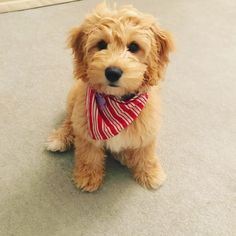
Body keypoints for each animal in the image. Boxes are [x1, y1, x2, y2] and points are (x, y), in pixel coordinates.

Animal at [47, 3, 174, 192]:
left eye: (134, 47)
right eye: (101, 44)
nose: (113, 72)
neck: (116, 101)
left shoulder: (147, 129)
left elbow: (146, 154)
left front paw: (151, 174)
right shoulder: (86, 131)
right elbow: (88, 156)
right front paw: (88, 177)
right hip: (74, 101)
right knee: (69, 122)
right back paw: (59, 138)